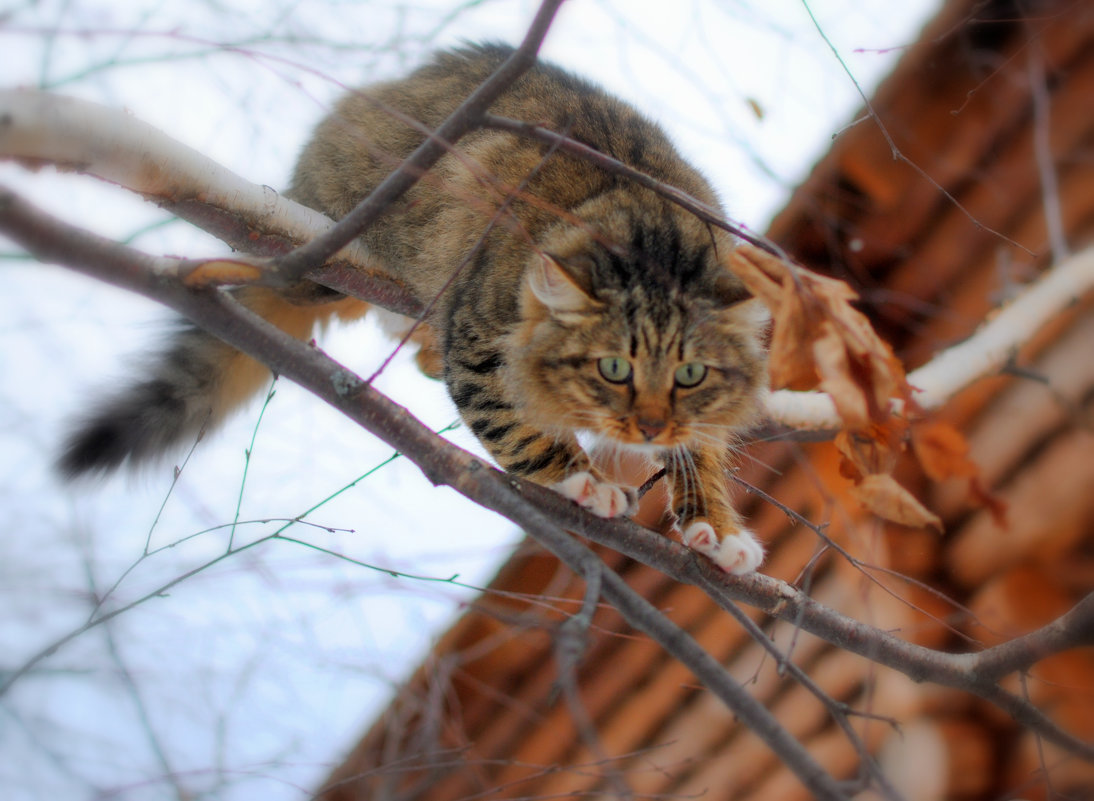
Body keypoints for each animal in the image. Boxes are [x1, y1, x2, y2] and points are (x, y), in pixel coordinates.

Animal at [59, 43, 770, 573]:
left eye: (690, 376)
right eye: (612, 369)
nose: (648, 427)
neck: (653, 228)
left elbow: (703, 456)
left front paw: (715, 527)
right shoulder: (480, 342)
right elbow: (522, 435)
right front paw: (585, 479)